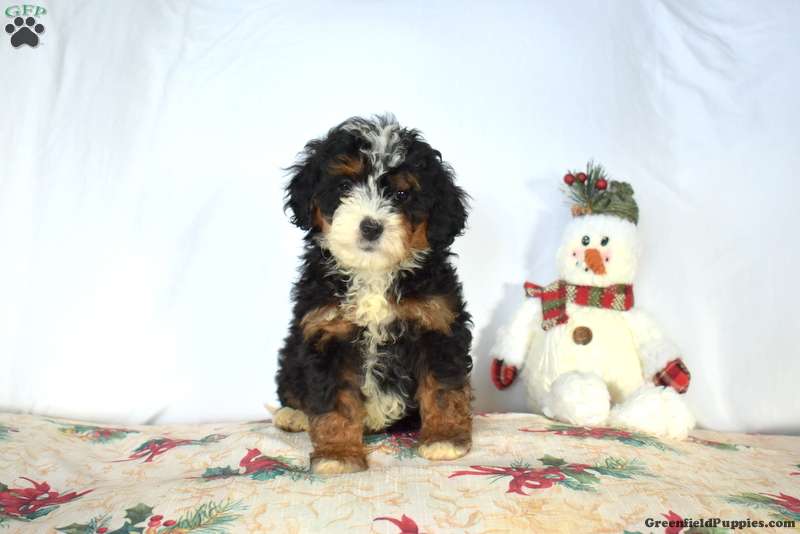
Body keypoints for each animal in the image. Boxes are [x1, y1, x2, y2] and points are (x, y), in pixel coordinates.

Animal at [274, 115, 473, 474]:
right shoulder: (327, 332)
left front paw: (445, 438)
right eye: (343, 187)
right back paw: (293, 414)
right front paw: (338, 454)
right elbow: (334, 402)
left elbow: (443, 388)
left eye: (402, 194)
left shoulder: (437, 323)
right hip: (293, 352)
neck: (373, 273)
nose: (371, 226)